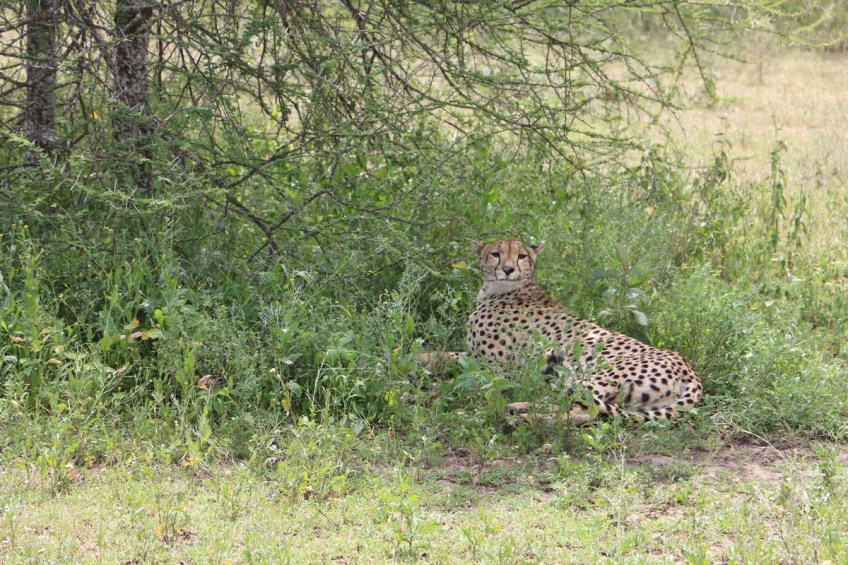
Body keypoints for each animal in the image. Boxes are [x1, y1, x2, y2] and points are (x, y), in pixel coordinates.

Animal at [464, 237, 703, 424]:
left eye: (521, 256)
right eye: (495, 254)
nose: (507, 269)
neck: (506, 289)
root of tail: (687, 368)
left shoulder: (494, 367)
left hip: (595, 377)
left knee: (583, 409)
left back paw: (527, 417)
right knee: (576, 406)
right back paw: (521, 408)